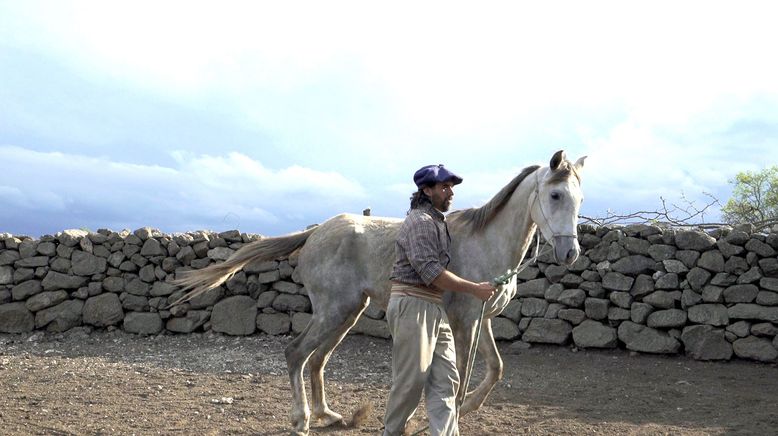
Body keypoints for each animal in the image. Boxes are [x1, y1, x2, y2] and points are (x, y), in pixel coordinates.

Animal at [170, 151, 584, 436]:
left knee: (317, 359)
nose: (570, 253)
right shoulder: (465, 321)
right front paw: (444, 418)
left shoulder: (480, 319)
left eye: (579, 198)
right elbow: (460, 380)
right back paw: (302, 419)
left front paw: (460, 412)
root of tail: (316, 231)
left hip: (348, 312)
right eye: (556, 195)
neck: (487, 243)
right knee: (297, 353)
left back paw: (329, 415)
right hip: (334, 311)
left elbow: (495, 369)